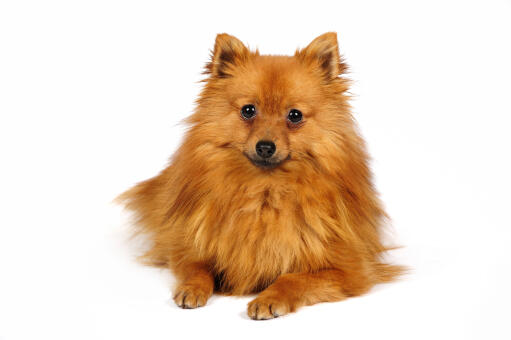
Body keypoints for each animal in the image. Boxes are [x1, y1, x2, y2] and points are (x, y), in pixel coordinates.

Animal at [120, 31, 404, 318]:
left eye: (294, 115)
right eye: (248, 110)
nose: (265, 146)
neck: (265, 192)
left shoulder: (350, 271)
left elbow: (292, 278)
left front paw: (270, 298)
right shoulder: (187, 248)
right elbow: (197, 268)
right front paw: (192, 288)